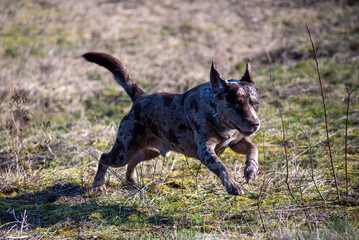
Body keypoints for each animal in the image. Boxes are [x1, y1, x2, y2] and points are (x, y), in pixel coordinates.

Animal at [82, 52, 260, 195]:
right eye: (237, 104)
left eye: (256, 103)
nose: (255, 123)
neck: (216, 113)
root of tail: (140, 97)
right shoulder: (205, 151)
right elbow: (222, 166)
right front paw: (233, 186)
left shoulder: (236, 142)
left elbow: (253, 149)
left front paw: (250, 172)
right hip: (124, 149)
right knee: (104, 157)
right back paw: (98, 185)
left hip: (150, 150)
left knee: (135, 159)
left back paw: (132, 180)